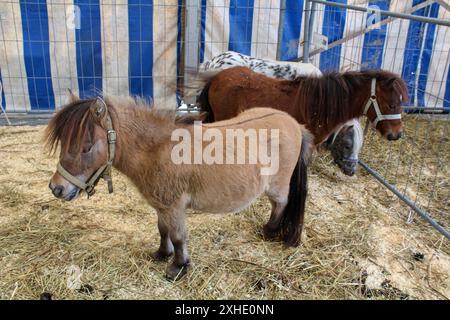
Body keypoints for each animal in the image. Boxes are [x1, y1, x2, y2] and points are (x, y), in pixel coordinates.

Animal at [45, 95, 312, 280]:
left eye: (87, 147)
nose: (56, 188)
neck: (157, 150)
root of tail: (295, 124)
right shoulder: (162, 206)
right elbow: (163, 230)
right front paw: (163, 254)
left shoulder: (174, 207)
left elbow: (178, 236)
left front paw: (178, 267)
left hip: (277, 186)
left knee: (280, 203)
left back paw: (269, 230)